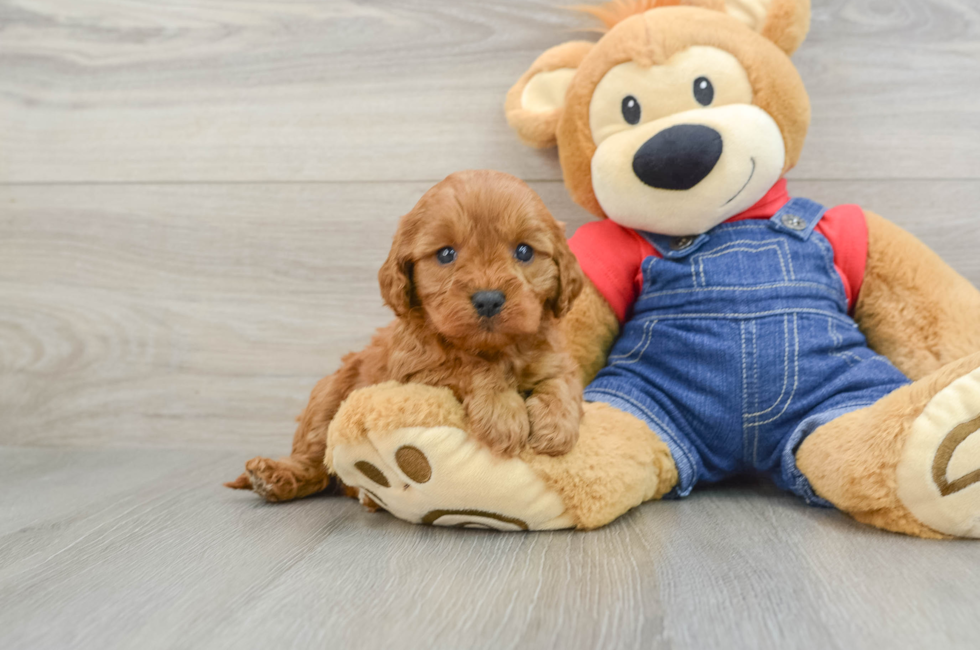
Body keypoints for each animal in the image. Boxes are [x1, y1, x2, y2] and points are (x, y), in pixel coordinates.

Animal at [226, 168, 584, 502]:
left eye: (524, 252)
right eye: (446, 254)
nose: (488, 299)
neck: (494, 349)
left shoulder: (555, 357)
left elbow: (562, 382)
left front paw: (557, 425)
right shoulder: (417, 372)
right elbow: (469, 368)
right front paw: (503, 414)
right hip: (327, 396)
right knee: (316, 462)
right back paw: (276, 477)